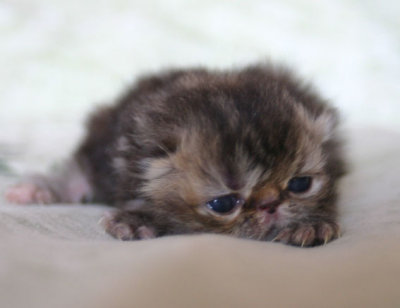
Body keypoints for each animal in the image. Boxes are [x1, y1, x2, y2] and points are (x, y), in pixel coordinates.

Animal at [5, 63, 346, 247]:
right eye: (224, 204)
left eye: (300, 184)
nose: (271, 205)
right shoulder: (108, 153)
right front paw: (137, 220)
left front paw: (309, 224)